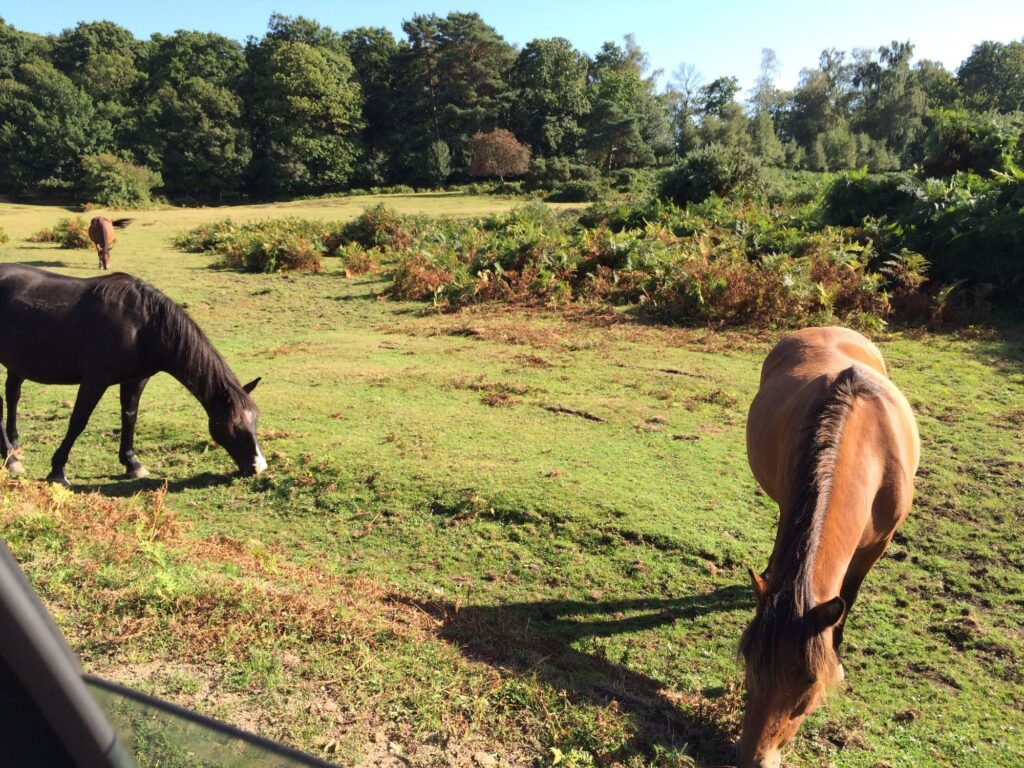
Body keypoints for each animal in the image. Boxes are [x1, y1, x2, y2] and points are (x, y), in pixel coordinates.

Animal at [0, 263, 267, 486]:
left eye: (255, 420)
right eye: (232, 425)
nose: (259, 467)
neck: (142, 324)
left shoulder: (136, 379)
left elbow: (130, 417)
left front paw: (132, 463)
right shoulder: (95, 379)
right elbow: (78, 420)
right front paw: (57, 470)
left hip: (17, 363)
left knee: (13, 396)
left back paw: (14, 447)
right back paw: (11, 459)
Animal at [738, 327, 919, 768]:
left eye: (808, 681)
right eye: (749, 659)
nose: (753, 759)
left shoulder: (879, 545)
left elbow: (847, 599)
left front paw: (836, 653)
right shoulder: (791, 509)